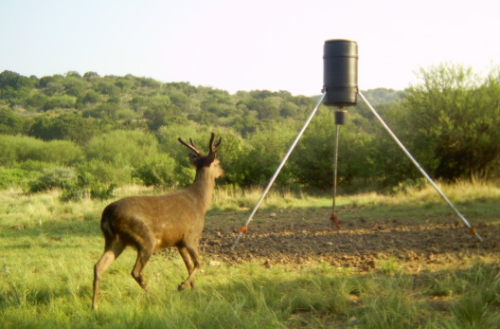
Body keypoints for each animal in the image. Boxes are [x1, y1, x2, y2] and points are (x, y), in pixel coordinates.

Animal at [91, 131, 223, 308]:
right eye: (217, 162)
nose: (223, 171)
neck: (200, 202)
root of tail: (107, 214)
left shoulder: (179, 242)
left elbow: (189, 265)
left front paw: (194, 290)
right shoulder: (191, 235)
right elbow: (198, 263)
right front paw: (182, 286)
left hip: (114, 240)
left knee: (99, 266)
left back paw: (95, 306)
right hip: (145, 238)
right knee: (136, 271)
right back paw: (154, 294)